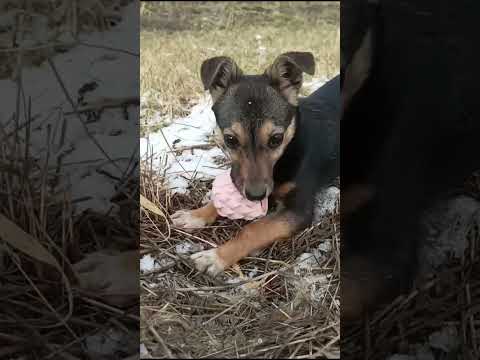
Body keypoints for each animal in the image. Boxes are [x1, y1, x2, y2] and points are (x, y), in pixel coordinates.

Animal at [171, 51, 340, 276]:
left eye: (276, 139)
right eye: (230, 139)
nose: (255, 196)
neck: (290, 146)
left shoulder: (298, 211)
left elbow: (253, 229)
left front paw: (216, 256)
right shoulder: (237, 176)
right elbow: (220, 198)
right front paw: (195, 215)